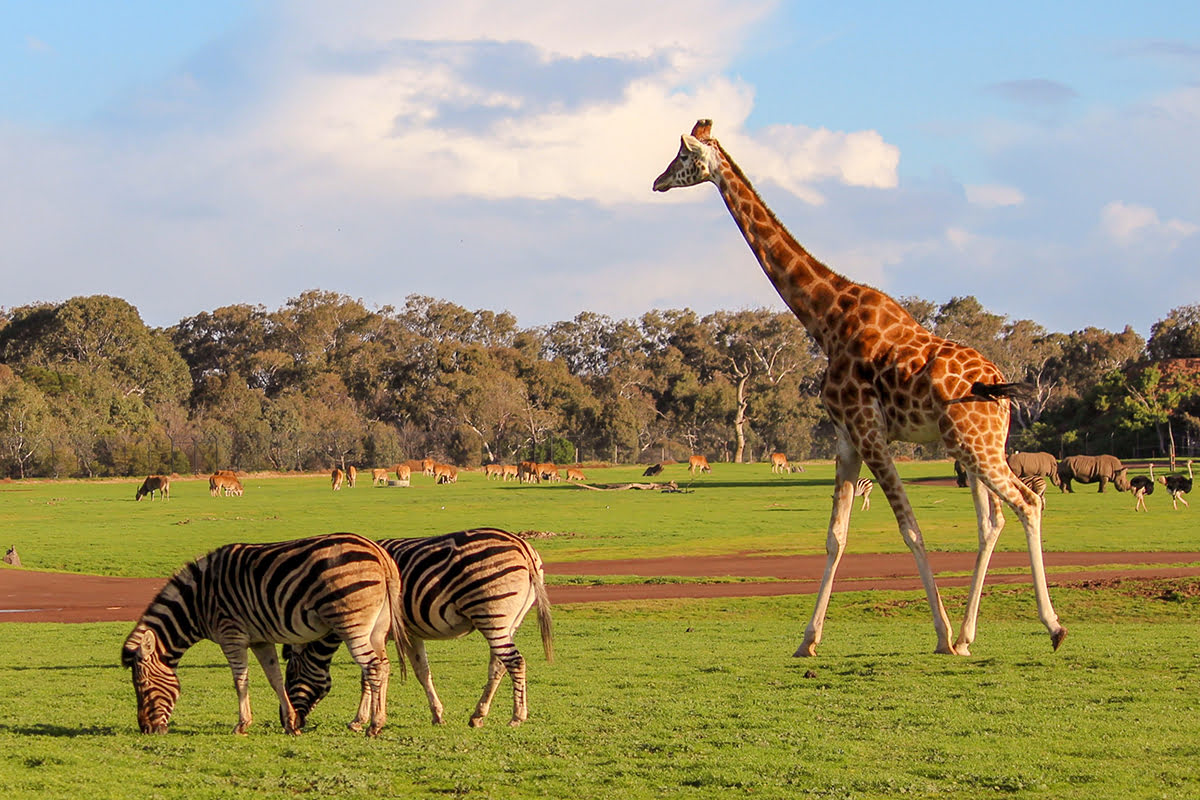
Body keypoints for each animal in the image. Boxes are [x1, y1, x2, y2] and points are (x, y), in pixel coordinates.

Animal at [120, 532, 408, 738]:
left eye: (141, 686)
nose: (146, 730)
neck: (198, 601)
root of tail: (380, 554)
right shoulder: (261, 640)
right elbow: (275, 679)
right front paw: (290, 723)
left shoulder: (231, 635)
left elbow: (240, 680)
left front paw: (242, 725)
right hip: (377, 629)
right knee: (384, 666)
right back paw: (374, 721)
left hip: (352, 624)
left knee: (373, 667)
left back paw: (374, 726)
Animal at [283, 527, 554, 729]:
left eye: (291, 676)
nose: (293, 723)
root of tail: (522, 545)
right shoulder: (410, 634)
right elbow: (422, 672)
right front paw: (437, 714)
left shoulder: (374, 631)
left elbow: (367, 674)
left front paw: (358, 720)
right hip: (509, 621)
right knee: (499, 666)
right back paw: (478, 715)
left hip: (492, 615)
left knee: (515, 662)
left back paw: (517, 716)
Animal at [657, 120, 1070, 657]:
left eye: (682, 156)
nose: (657, 182)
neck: (825, 319)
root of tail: (997, 385)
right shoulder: (846, 436)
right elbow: (836, 535)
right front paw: (807, 641)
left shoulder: (869, 431)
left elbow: (910, 529)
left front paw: (938, 635)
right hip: (977, 446)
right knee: (992, 520)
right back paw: (968, 635)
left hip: (975, 447)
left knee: (1028, 503)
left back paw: (1048, 626)